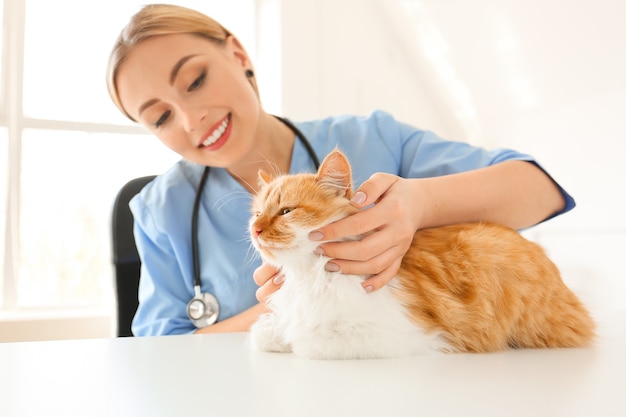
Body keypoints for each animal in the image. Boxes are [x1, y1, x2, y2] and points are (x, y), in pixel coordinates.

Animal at [246, 147, 592, 358]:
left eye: (286, 211)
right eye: (258, 213)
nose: (256, 230)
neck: (308, 274)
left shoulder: (402, 334)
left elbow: (307, 340)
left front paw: (292, 339)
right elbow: (265, 332)